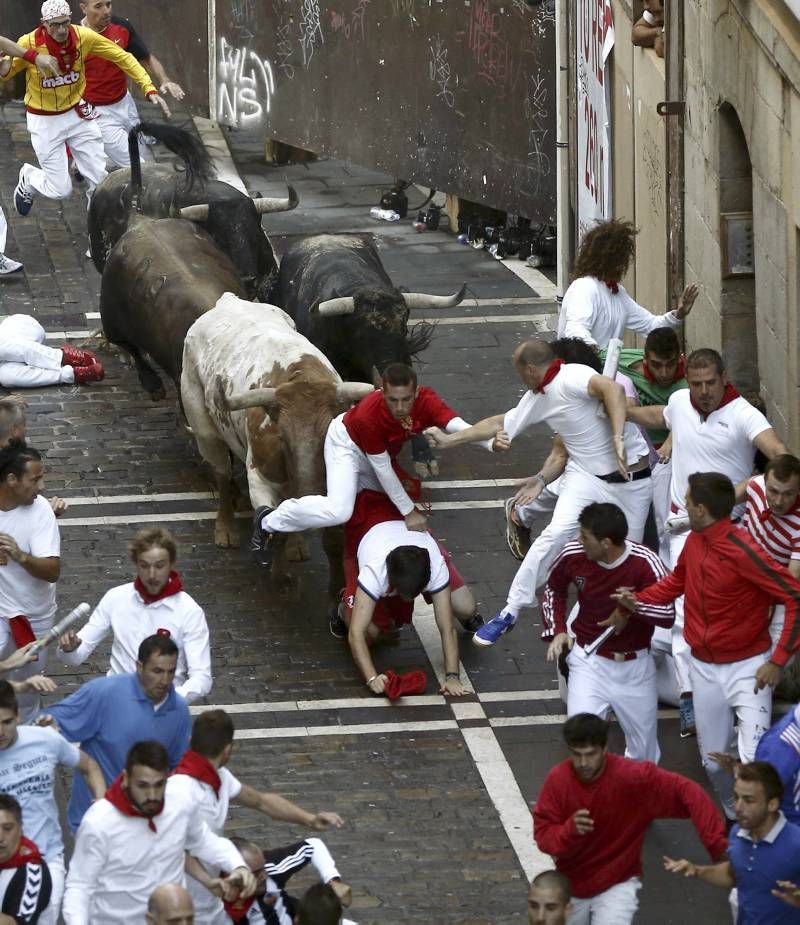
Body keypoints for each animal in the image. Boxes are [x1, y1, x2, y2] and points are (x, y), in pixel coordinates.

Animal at [180, 292, 374, 588]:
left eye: (327, 434)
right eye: (282, 436)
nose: (309, 491)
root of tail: (228, 300)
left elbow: (333, 540)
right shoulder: (260, 479)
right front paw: (280, 574)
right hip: (205, 430)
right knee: (222, 475)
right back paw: (225, 529)